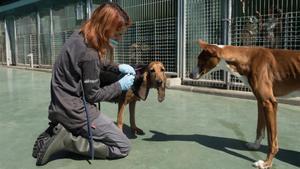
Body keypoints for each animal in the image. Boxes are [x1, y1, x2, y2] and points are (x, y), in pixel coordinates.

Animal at [191, 40, 298, 169]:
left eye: (200, 59)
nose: (190, 75)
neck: (247, 58)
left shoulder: (269, 103)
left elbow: (272, 139)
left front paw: (267, 163)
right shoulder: (261, 101)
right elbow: (259, 129)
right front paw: (255, 146)